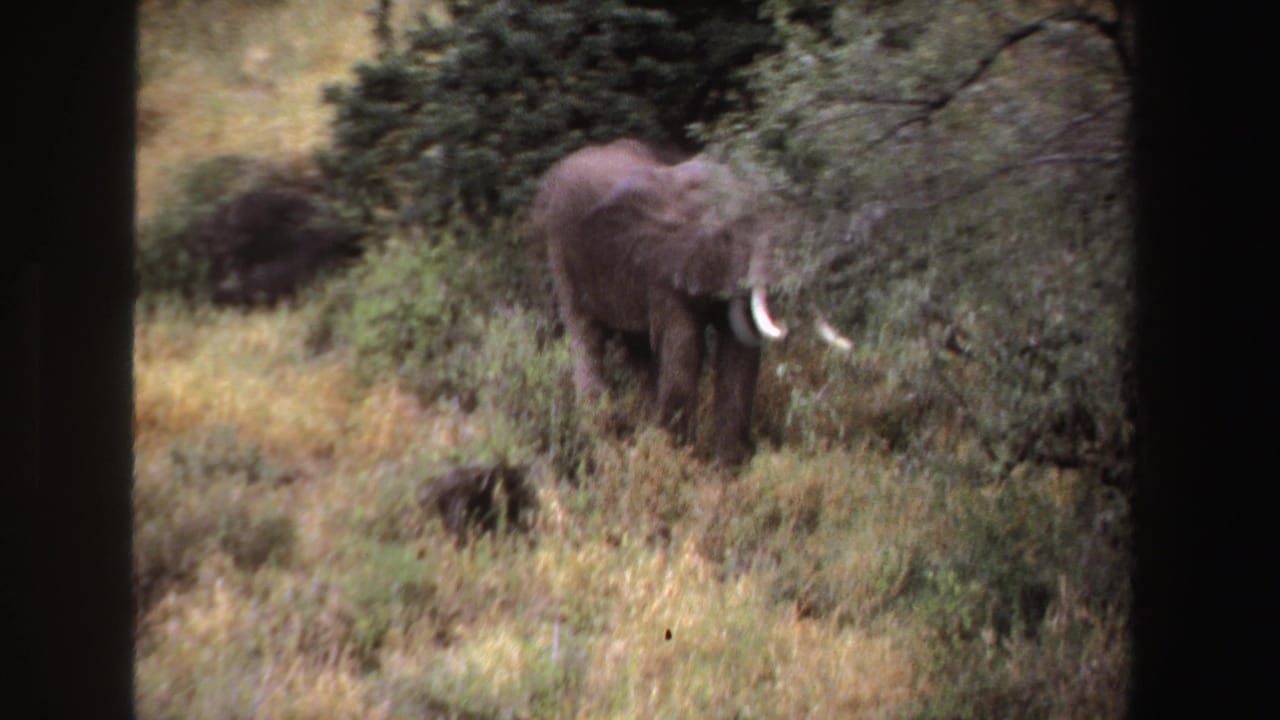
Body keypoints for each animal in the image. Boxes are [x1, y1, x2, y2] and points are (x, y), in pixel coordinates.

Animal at [529, 138, 826, 466]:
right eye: (729, 234)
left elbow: (737, 355)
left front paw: (725, 469)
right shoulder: (663, 266)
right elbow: (684, 350)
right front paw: (680, 460)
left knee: (639, 350)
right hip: (561, 250)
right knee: (586, 335)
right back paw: (602, 440)